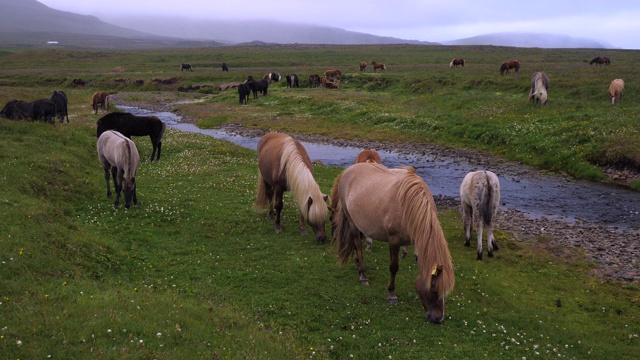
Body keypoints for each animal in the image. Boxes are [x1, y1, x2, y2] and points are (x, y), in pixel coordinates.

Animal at [330, 163, 456, 324]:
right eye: (434, 290)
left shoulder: (416, 240)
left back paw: (358, 265)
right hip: (352, 222)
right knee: (357, 244)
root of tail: (347, 171)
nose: (438, 319)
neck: (410, 204)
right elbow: (394, 267)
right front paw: (391, 295)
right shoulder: (394, 240)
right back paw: (363, 276)